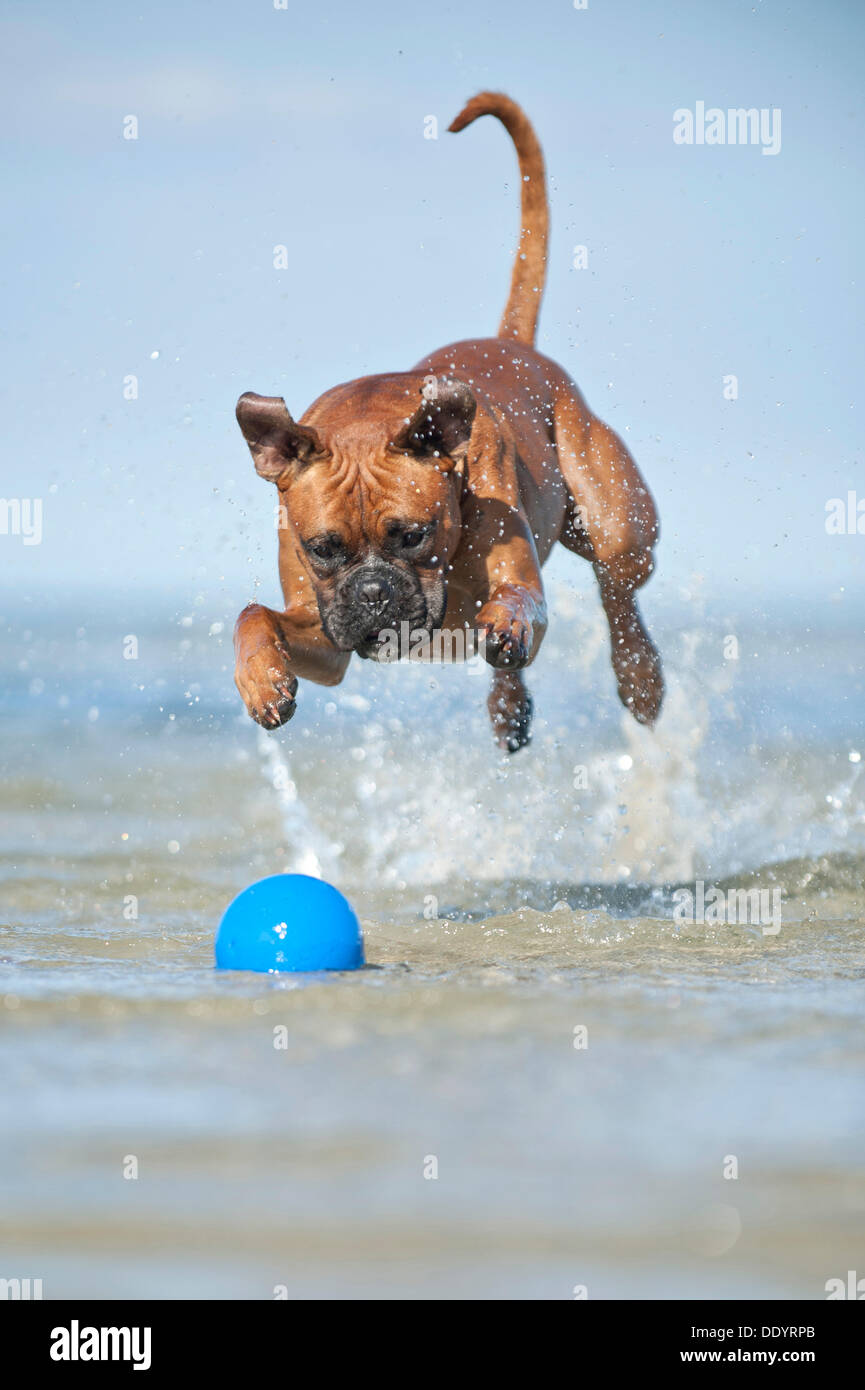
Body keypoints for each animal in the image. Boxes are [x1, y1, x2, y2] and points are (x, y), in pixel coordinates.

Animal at [230, 91, 664, 750]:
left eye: (413, 535)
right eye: (323, 549)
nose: (374, 592)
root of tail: (510, 342)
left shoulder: (520, 579)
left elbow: (519, 599)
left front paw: (507, 620)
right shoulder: (325, 640)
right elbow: (254, 615)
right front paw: (260, 681)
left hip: (618, 527)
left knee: (616, 591)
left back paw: (640, 677)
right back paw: (509, 707)